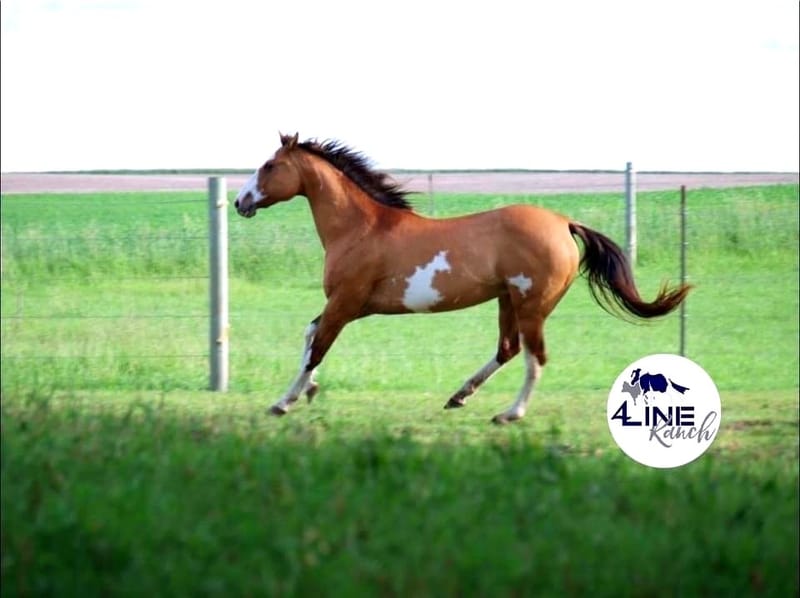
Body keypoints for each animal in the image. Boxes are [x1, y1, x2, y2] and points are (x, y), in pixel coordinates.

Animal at [234, 135, 692, 426]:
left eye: (270, 165)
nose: (240, 202)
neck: (361, 228)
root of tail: (564, 222)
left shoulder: (345, 303)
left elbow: (317, 348)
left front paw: (283, 402)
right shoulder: (353, 306)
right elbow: (311, 335)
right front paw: (307, 392)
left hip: (531, 305)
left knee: (534, 358)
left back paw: (509, 414)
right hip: (508, 301)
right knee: (508, 350)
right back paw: (459, 396)